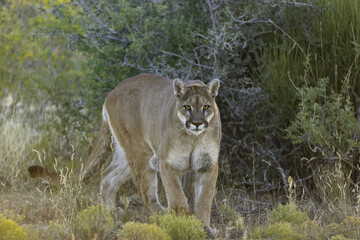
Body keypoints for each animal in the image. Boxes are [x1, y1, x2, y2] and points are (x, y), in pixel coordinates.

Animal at [28, 73, 221, 231]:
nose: (197, 123)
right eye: (187, 107)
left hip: (127, 156)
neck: (193, 138)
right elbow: (178, 198)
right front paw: (183, 223)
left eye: (206, 107)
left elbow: (204, 199)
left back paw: (110, 215)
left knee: (107, 176)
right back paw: (160, 217)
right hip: (141, 153)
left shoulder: (208, 165)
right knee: (146, 194)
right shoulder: (168, 163)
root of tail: (114, 90)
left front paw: (203, 227)